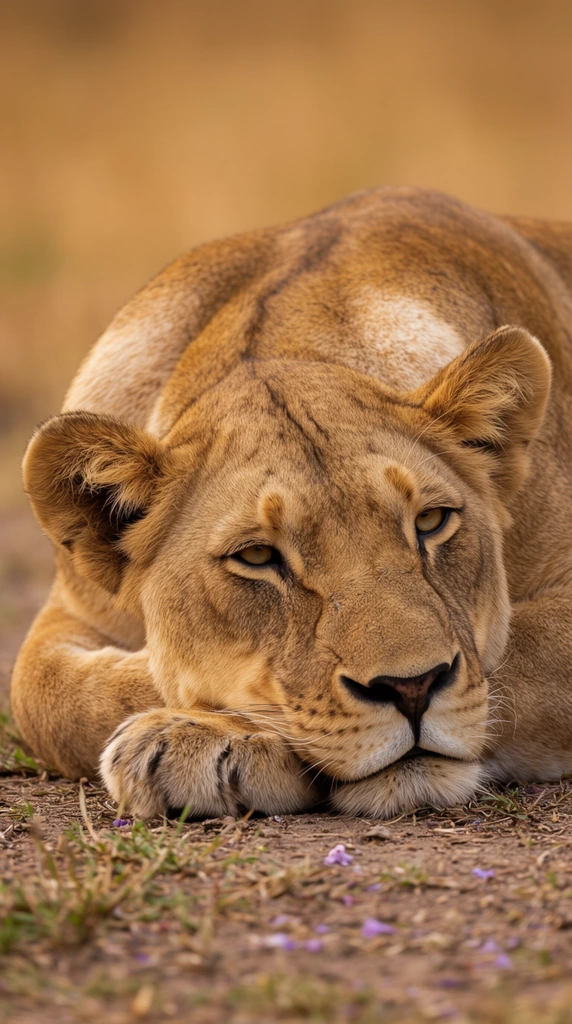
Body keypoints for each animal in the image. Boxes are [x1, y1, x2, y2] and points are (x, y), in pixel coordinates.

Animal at [10, 186, 572, 820]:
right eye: (257, 557)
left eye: (431, 522)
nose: (411, 688)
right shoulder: (73, 610)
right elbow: (51, 697)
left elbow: (514, 657)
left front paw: (198, 739)